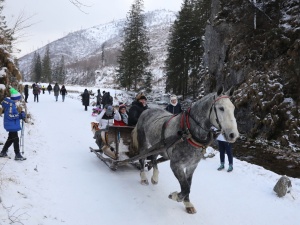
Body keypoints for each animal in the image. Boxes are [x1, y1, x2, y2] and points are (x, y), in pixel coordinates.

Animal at [131, 86, 239, 214]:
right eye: (221, 108)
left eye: (233, 108)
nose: (233, 135)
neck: (188, 132)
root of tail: (146, 111)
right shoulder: (176, 165)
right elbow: (185, 187)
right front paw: (175, 196)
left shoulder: (192, 165)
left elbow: (189, 185)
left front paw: (187, 203)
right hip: (144, 143)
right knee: (142, 159)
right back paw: (143, 177)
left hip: (158, 146)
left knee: (153, 158)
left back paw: (155, 178)